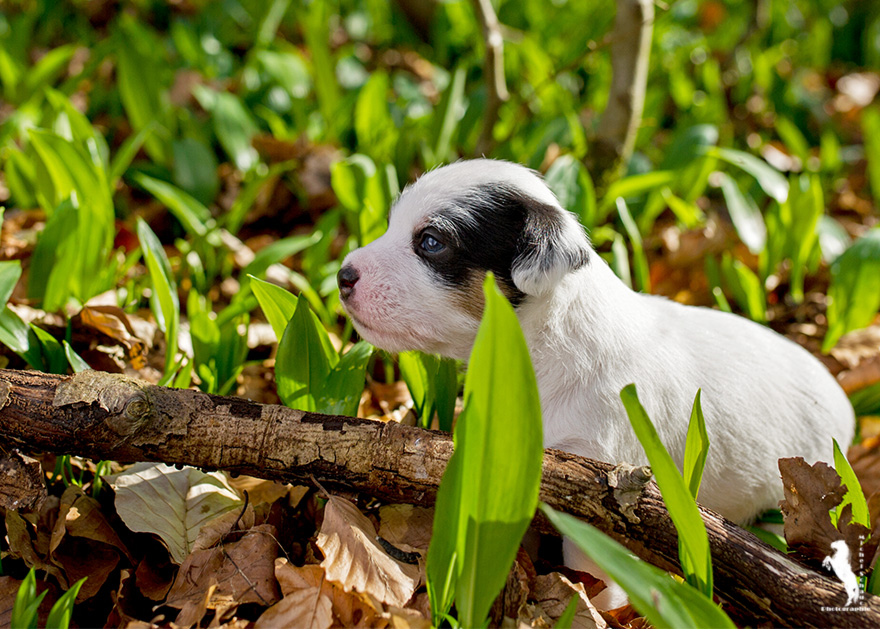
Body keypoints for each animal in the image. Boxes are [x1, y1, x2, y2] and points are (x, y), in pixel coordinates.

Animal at [336, 158, 852, 604]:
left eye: (431, 242)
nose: (343, 275)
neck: (540, 351)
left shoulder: (600, 482)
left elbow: (592, 566)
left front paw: (593, 604)